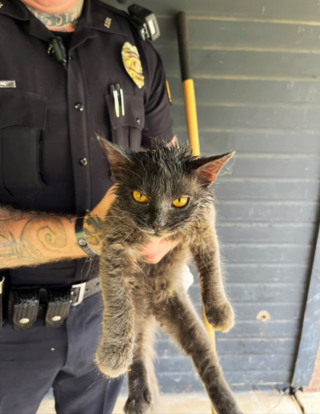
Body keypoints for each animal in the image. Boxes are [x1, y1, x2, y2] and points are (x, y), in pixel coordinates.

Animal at [95, 140, 242, 414]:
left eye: (180, 201)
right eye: (140, 196)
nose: (157, 223)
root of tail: (153, 308)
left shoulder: (204, 227)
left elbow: (212, 267)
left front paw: (218, 310)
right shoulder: (113, 246)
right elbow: (118, 300)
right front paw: (112, 354)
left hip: (185, 319)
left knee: (207, 360)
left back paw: (228, 405)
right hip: (137, 315)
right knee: (137, 349)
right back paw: (137, 398)